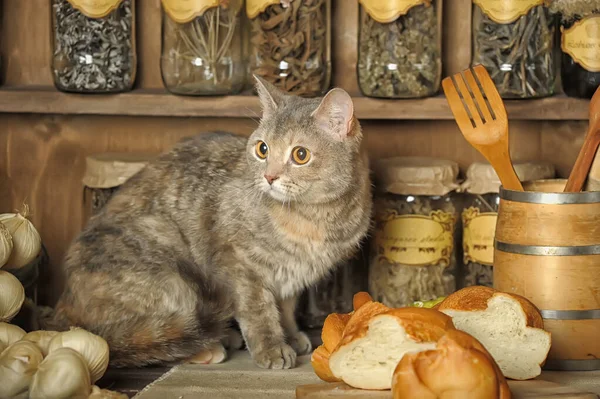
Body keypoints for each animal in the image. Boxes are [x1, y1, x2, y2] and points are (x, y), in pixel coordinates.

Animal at [49, 76, 372, 370]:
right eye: (263, 149)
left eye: (300, 154)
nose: (269, 176)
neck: (313, 219)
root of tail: (65, 307)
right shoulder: (238, 265)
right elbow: (259, 310)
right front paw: (271, 348)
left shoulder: (292, 274)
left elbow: (287, 308)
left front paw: (291, 335)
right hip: (170, 266)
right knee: (151, 336)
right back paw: (206, 348)